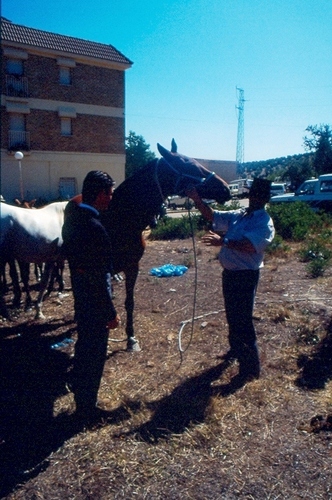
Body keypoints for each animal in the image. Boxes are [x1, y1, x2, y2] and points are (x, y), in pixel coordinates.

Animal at [101, 141, 231, 352]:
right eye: (189, 165)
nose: (226, 188)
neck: (119, 221)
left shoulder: (132, 267)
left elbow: (129, 302)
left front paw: (131, 337)